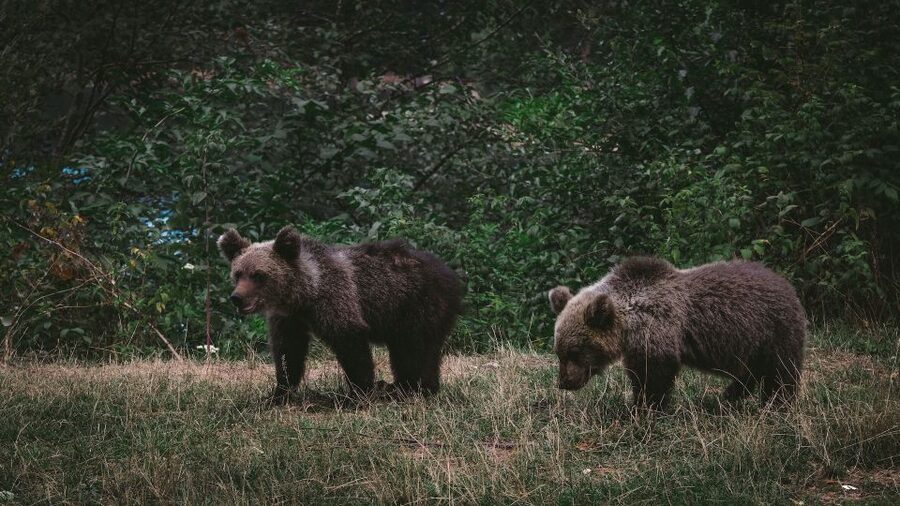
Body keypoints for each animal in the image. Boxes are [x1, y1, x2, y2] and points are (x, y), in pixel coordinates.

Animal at [218, 226, 462, 405]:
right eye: (238, 273)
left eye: (258, 275)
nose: (237, 297)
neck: (305, 293)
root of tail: (450, 273)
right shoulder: (289, 319)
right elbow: (288, 352)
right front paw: (277, 393)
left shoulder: (335, 300)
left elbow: (351, 343)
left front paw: (358, 393)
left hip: (415, 305)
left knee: (413, 349)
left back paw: (409, 388)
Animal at [548, 257, 806, 410]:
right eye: (559, 351)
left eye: (575, 351)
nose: (563, 382)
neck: (629, 323)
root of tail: (786, 283)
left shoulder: (658, 330)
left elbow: (653, 376)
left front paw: (644, 407)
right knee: (751, 371)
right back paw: (730, 394)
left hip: (773, 331)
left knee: (779, 372)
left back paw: (776, 403)